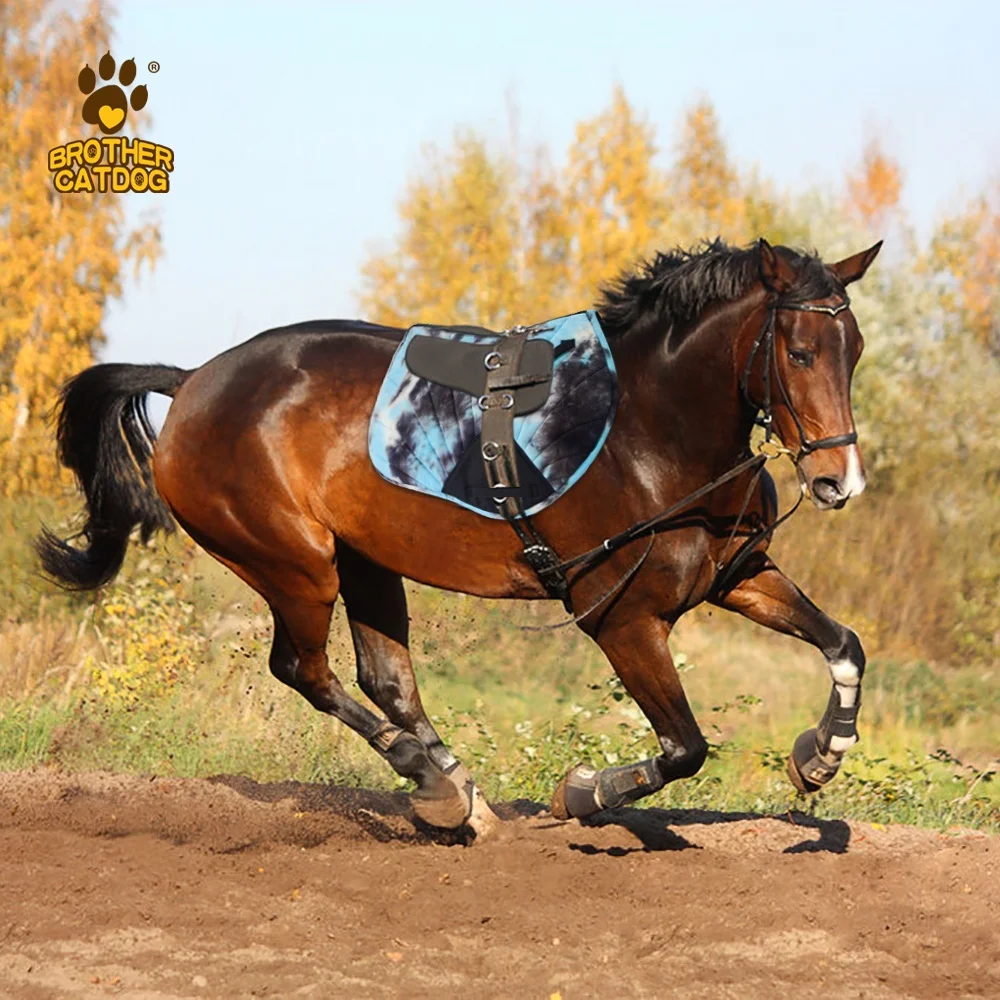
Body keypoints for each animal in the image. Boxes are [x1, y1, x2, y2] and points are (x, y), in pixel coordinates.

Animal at [38, 237, 881, 837]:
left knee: (386, 679)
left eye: (856, 350)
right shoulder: (622, 618)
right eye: (799, 352)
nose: (839, 482)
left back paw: (457, 791)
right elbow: (686, 748)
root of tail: (192, 382)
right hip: (294, 563)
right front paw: (582, 792)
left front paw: (821, 754)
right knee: (304, 669)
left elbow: (844, 644)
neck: (652, 431)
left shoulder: (739, 572)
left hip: (365, 562)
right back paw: (431, 779)